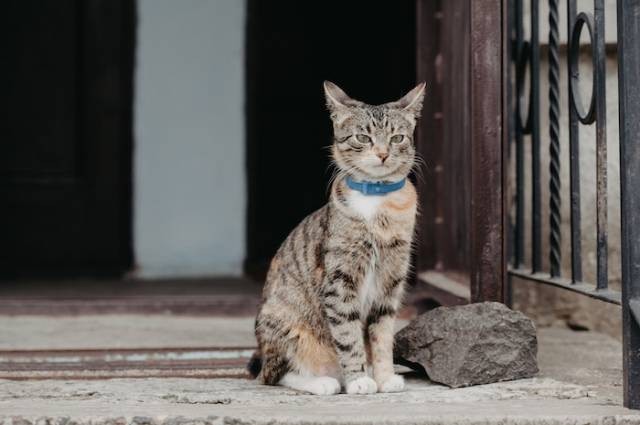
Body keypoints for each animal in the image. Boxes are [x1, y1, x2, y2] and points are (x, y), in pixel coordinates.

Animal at [250, 80, 424, 394]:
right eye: (363, 137)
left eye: (397, 138)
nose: (383, 154)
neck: (377, 201)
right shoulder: (340, 281)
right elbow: (348, 334)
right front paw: (359, 380)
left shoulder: (390, 281)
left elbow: (382, 336)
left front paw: (384, 377)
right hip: (282, 322)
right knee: (274, 375)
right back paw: (324, 382)